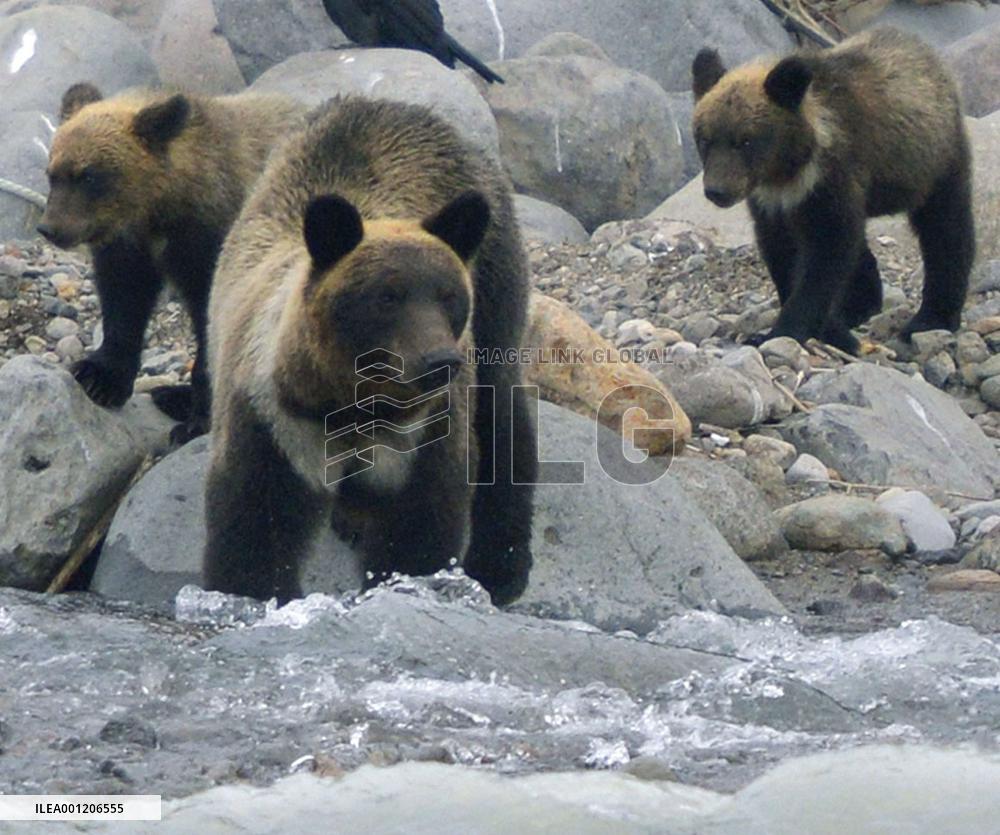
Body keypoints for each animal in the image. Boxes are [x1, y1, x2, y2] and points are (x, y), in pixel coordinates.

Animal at [38, 83, 306, 443]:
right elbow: (124, 301)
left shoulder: (211, 248)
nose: (50, 228)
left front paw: (198, 419)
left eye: (89, 176)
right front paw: (98, 377)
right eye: (52, 173)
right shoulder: (131, 247)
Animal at [204, 97, 537, 606]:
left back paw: (500, 565)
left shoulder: (422, 432)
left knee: (502, 415)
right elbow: (257, 516)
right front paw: (251, 590)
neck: (350, 402)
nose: (440, 361)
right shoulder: (271, 417)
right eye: (387, 296)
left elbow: (417, 520)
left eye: (448, 295)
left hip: (495, 284)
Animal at [691, 28, 975, 353]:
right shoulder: (771, 203)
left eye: (746, 140)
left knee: (946, 229)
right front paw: (831, 328)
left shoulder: (831, 181)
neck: (790, 171)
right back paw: (859, 306)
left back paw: (931, 318)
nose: (717, 190)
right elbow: (783, 252)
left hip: (933, 161)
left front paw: (785, 330)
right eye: (704, 138)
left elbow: (825, 256)